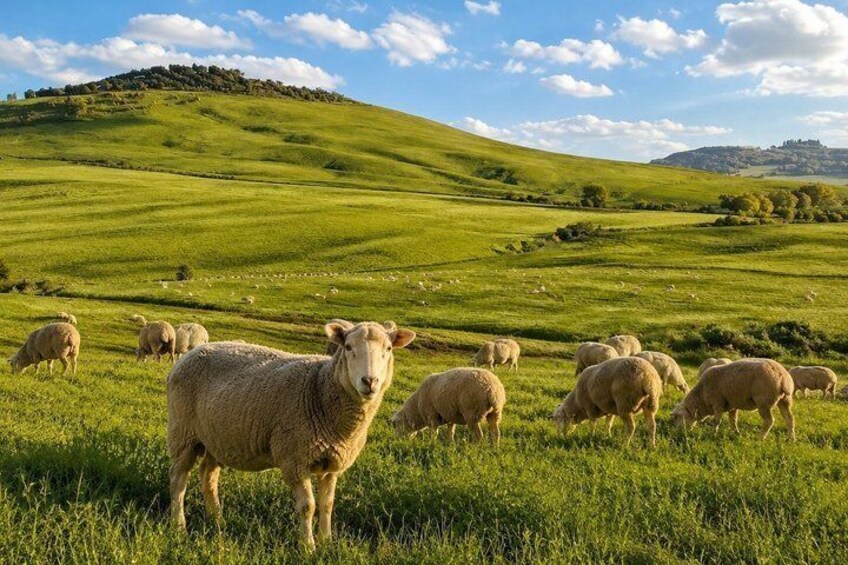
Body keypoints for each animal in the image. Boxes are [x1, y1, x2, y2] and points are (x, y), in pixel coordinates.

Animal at [166, 321, 416, 550]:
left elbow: (327, 504)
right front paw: (308, 547)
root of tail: (190, 354)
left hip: (216, 438)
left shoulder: (332, 464)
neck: (320, 390)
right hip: (182, 432)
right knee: (178, 479)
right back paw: (179, 525)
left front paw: (327, 542)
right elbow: (308, 506)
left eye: (389, 348)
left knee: (207, 474)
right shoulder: (295, 459)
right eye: (347, 347)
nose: (370, 381)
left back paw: (217, 519)